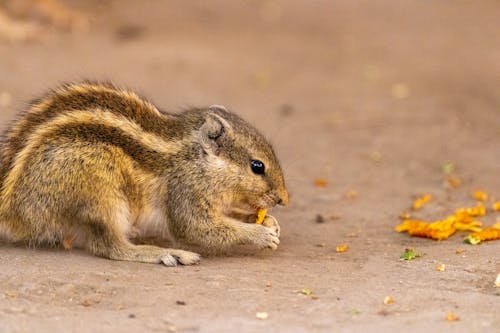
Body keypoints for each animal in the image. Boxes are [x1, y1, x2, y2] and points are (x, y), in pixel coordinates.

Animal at [0, 81, 290, 266]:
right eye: (257, 166)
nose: (283, 199)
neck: (197, 158)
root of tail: (9, 209)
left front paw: (267, 221)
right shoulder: (184, 193)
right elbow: (197, 228)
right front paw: (259, 235)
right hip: (101, 186)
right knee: (110, 247)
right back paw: (165, 254)